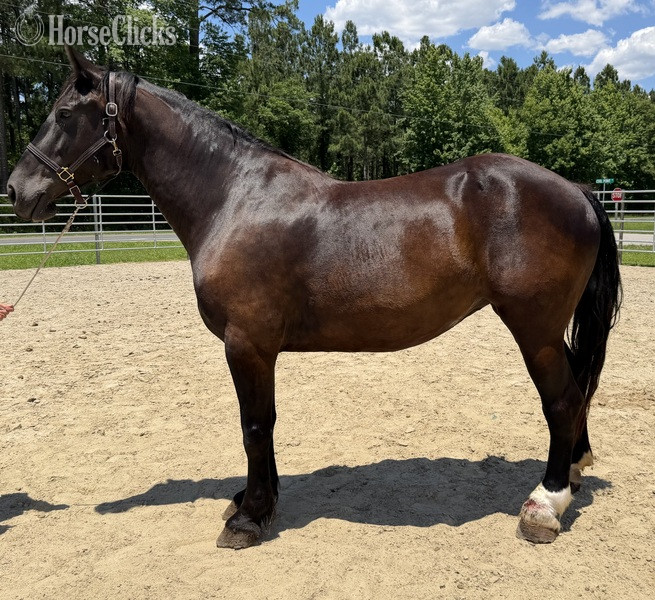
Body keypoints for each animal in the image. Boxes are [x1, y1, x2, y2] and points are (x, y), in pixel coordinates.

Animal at [7, 47, 621, 549]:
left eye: (65, 113)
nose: (16, 190)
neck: (233, 197)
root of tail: (577, 190)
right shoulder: (258, 349)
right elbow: (265, 425)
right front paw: (257, 501)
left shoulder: (246, 344)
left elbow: (254, 426)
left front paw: (248, 519)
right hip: (548, 331)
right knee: (578, 390)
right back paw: (574, 471)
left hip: (534, 328)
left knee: (563, 400)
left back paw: (545, 505)